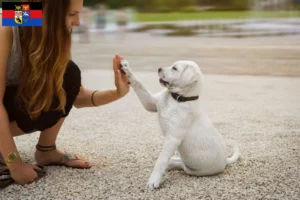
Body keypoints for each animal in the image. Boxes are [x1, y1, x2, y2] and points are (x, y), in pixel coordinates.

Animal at [119, 59, 239, 189]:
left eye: (174, 68)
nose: (159, 69)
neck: (178, 99)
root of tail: (226, 161)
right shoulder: (150, 103)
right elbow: (139, 84)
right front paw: (126, 68)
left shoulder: (172, 139)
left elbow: (161, 161)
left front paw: (153, 181)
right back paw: (172, 160)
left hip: (193, 170)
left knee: (182, 166)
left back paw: (171, 164)